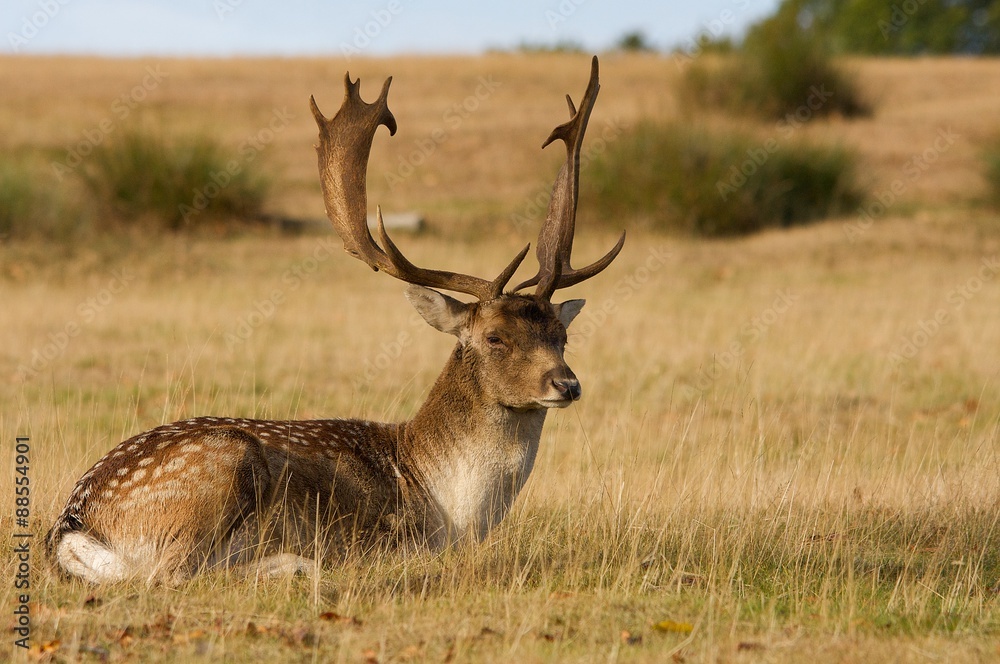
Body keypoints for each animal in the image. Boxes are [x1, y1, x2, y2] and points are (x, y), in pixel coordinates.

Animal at [46, 56, 624, 585]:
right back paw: (292, 564)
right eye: (494, 336)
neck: (444, 506)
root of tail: (75, 522)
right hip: (219, 468)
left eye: (562, 334)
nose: (566, 383)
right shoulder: (391, 540)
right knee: (171, 573)